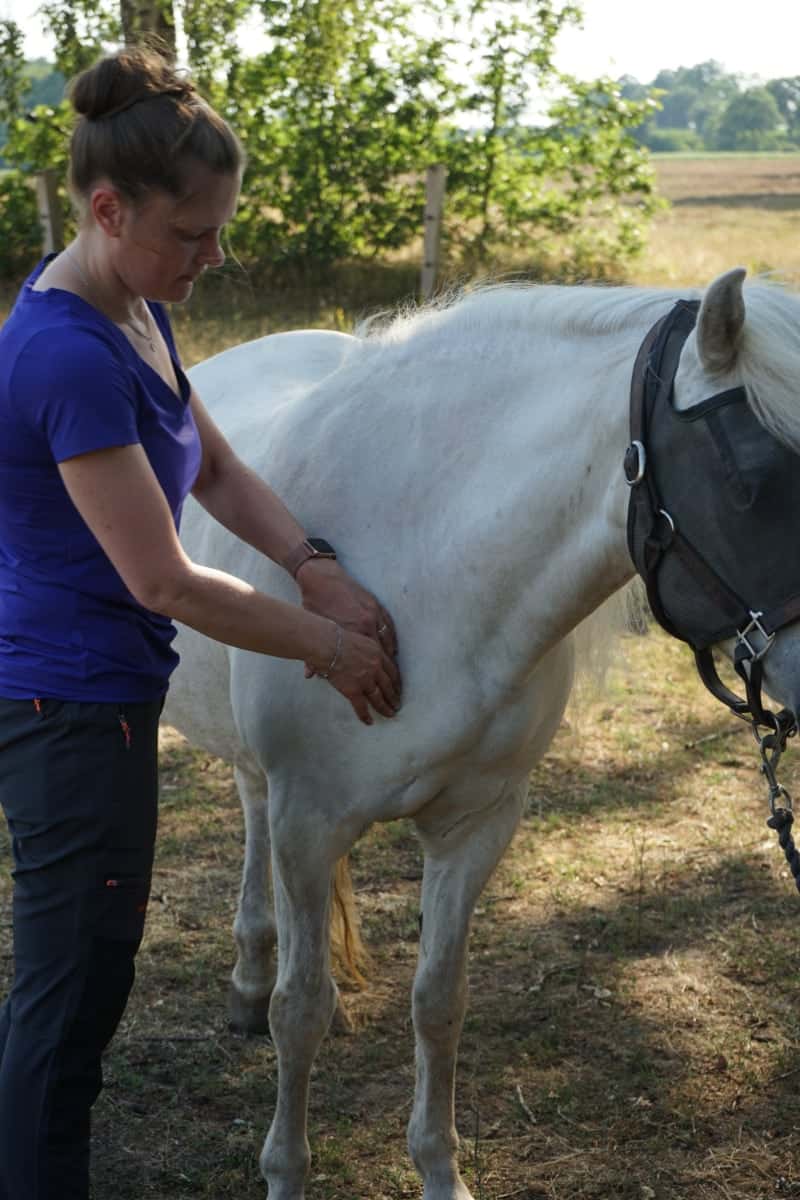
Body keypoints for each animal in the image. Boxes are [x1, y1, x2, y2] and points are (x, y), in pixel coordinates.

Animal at [163, 270, 800, 1200]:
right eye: (753, 485)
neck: (422, 573)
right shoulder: (308, 823)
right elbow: (302, 1010)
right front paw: (285, 1174)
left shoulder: (477, 826)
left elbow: (439, 1000)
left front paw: (439, 1171)